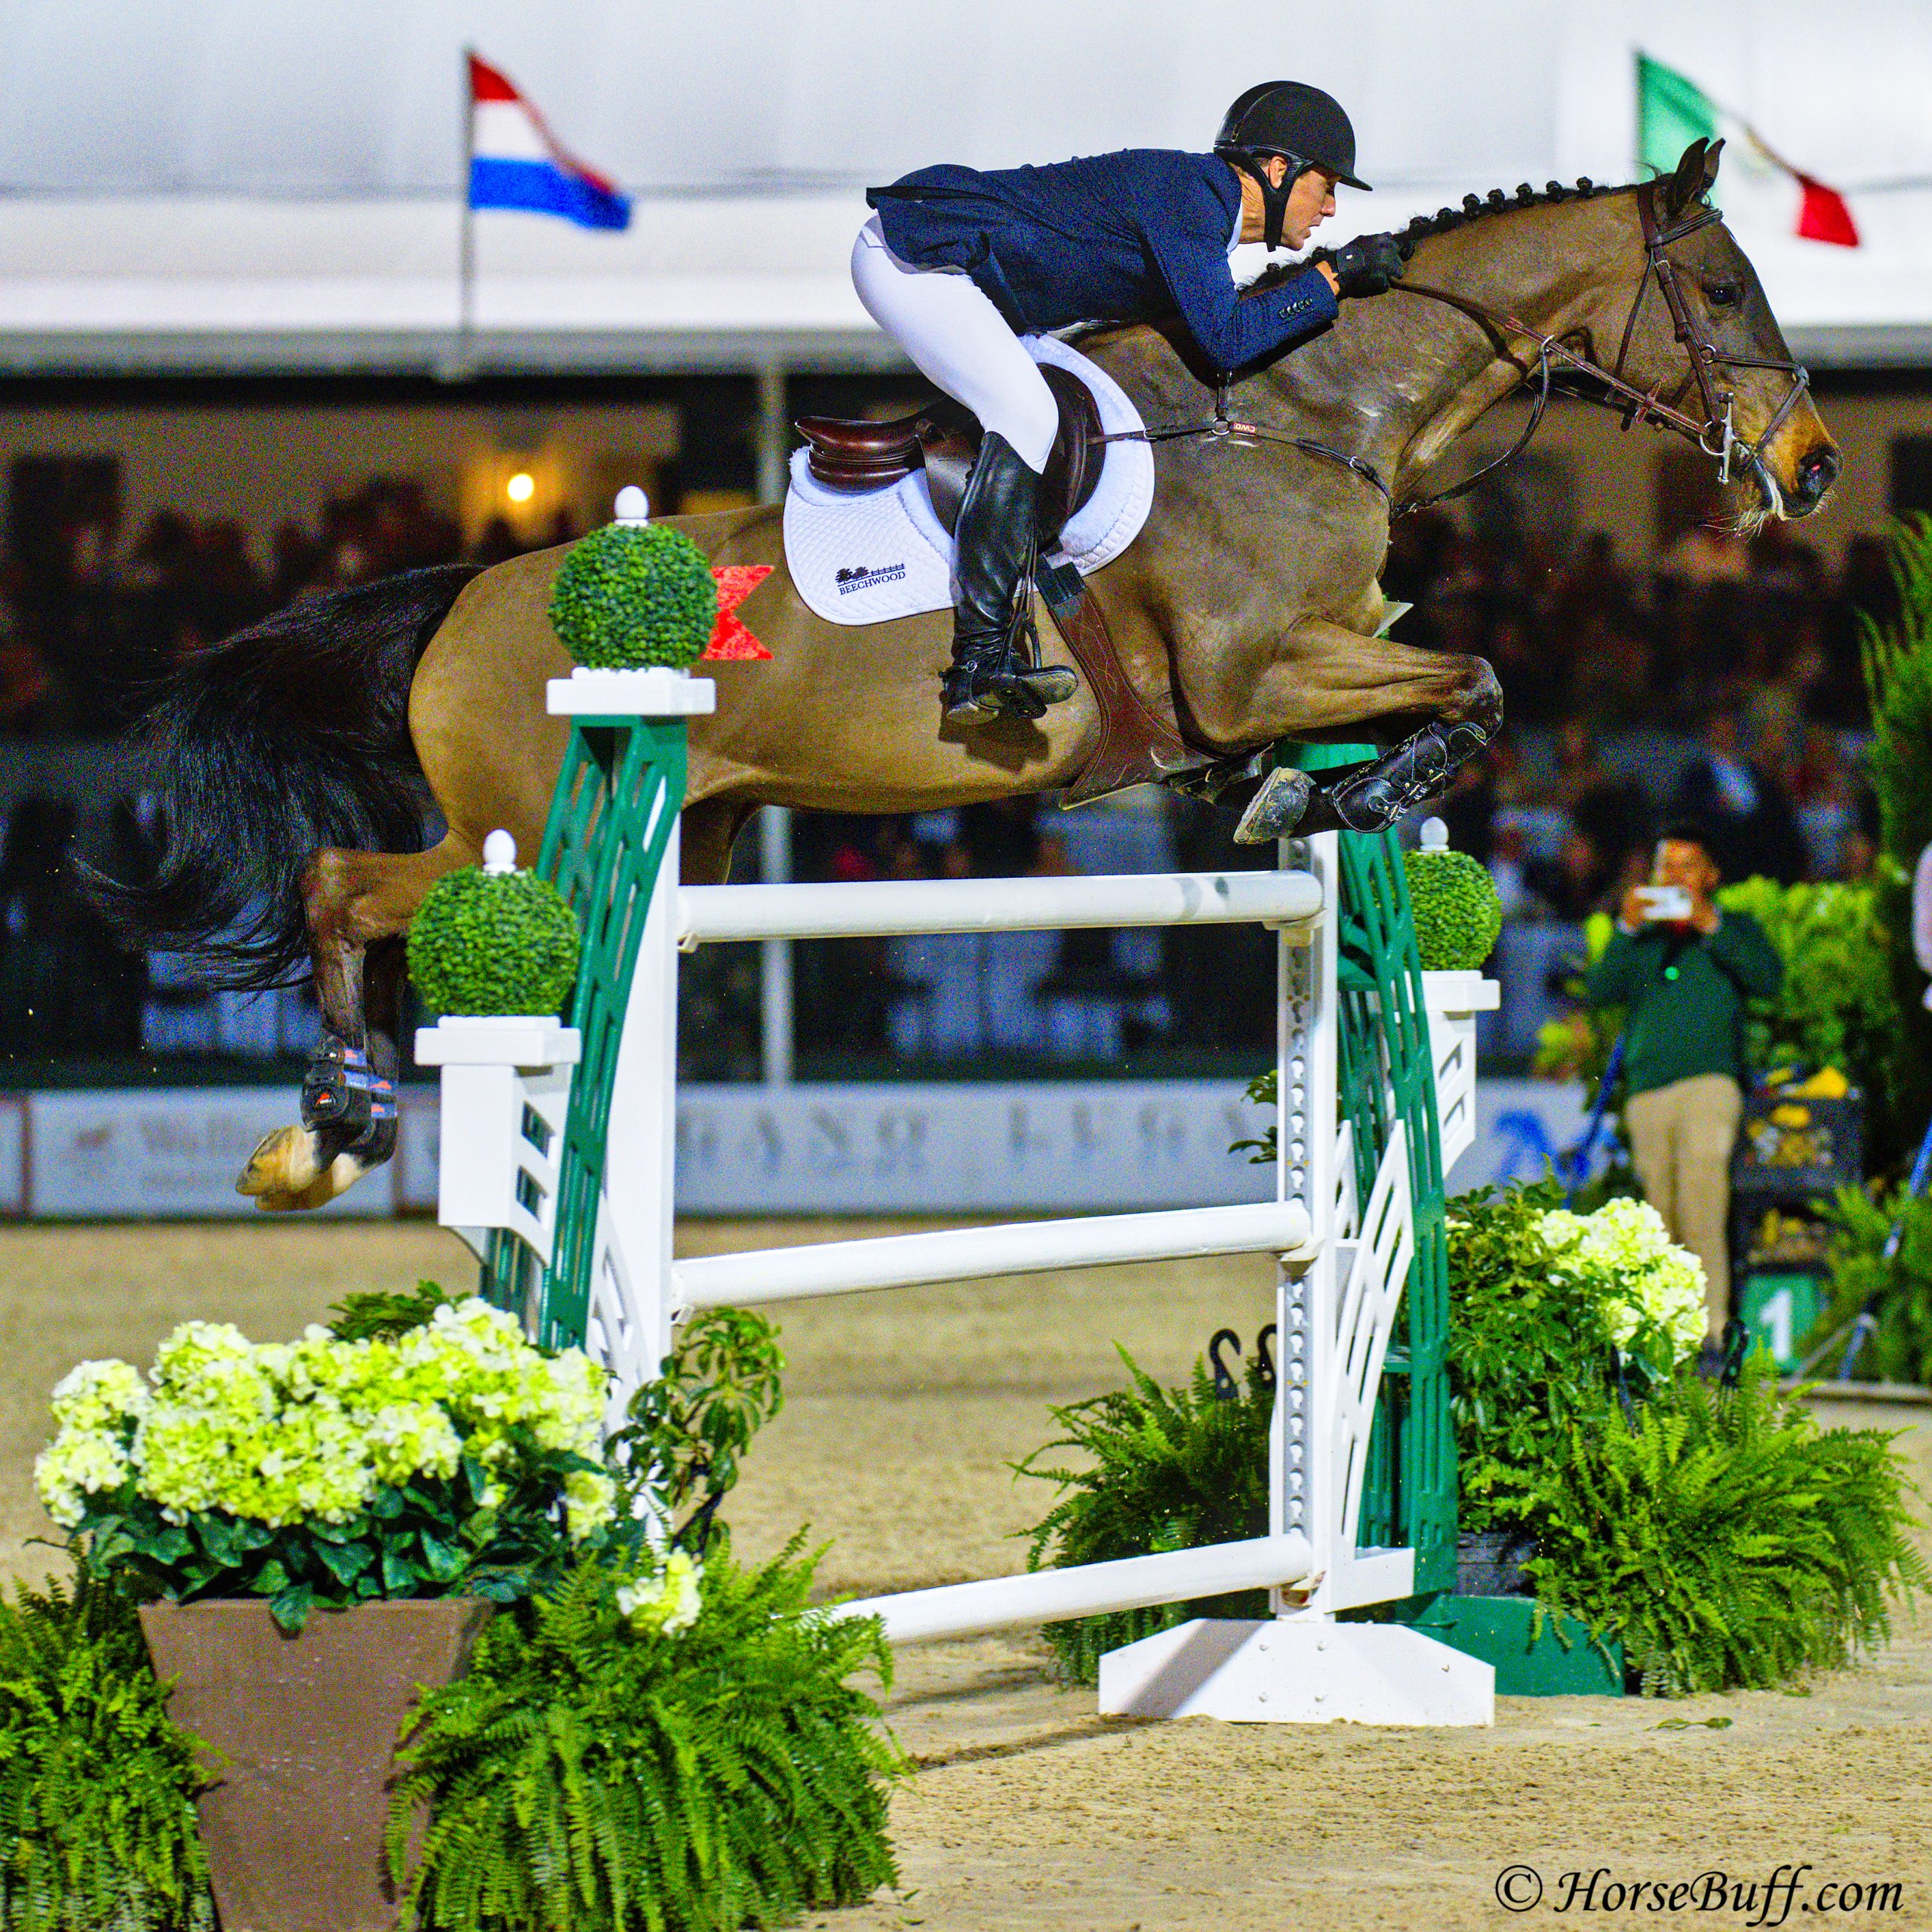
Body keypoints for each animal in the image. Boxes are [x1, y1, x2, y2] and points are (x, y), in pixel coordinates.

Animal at [91, 140, 1839, 1205]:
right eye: (1723, 289)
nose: (1816, 468)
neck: (1301, 410)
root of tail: (471, 589)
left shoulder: (1314, 658)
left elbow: (1448, 684)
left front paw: (1313, 800)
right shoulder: (1253, 667)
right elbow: (1472, 681)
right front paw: (1332, 791)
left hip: (682, 832)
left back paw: (336, 1126)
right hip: (522, 826)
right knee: (343, 889)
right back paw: (331, 1126)